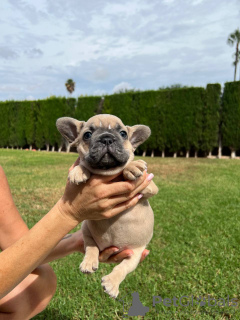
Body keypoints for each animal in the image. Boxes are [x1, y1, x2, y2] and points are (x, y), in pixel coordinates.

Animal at [55, 114, 158, 298]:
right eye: (87, 135)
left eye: (123, 134)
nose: (107, 138)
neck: (107, 172)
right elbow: (84, 163)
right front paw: (78, 171)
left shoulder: (150, 185)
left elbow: (127, 167)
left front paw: (132, 166)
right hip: (86, 228)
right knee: (91, 247)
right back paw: (88, 263)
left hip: (135, 253)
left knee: (123, 267)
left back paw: (111, 283)